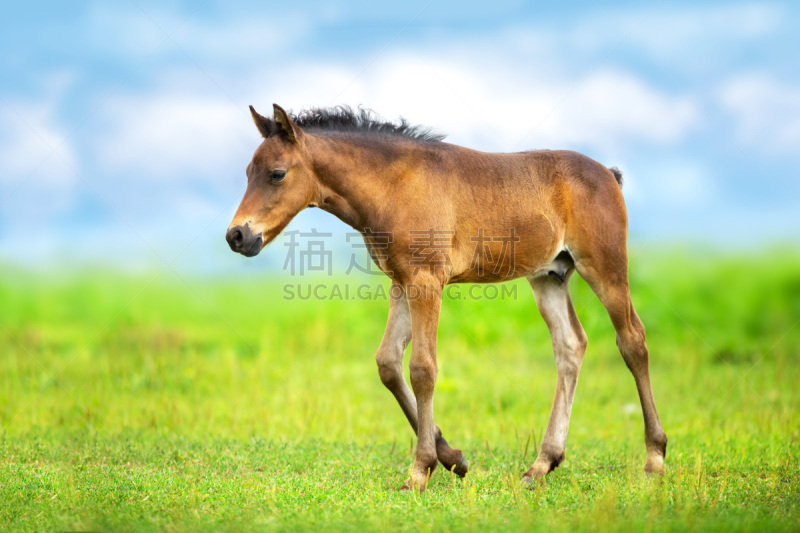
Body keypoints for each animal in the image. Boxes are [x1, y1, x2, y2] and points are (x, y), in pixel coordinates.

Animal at [227, 104, 668, 490]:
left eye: (277, 173)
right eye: (247, 172)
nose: (238, 236)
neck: (394, 184)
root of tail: (608, 173)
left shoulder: (427, 282)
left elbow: (423, 368)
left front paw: (420, 471)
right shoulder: (402, 282)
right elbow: (388, 363)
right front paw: (453, 458)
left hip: (605, 266)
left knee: (632, 339)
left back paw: (654, 459)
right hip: (548, 276)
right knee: (570, 345)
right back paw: (541, 465)